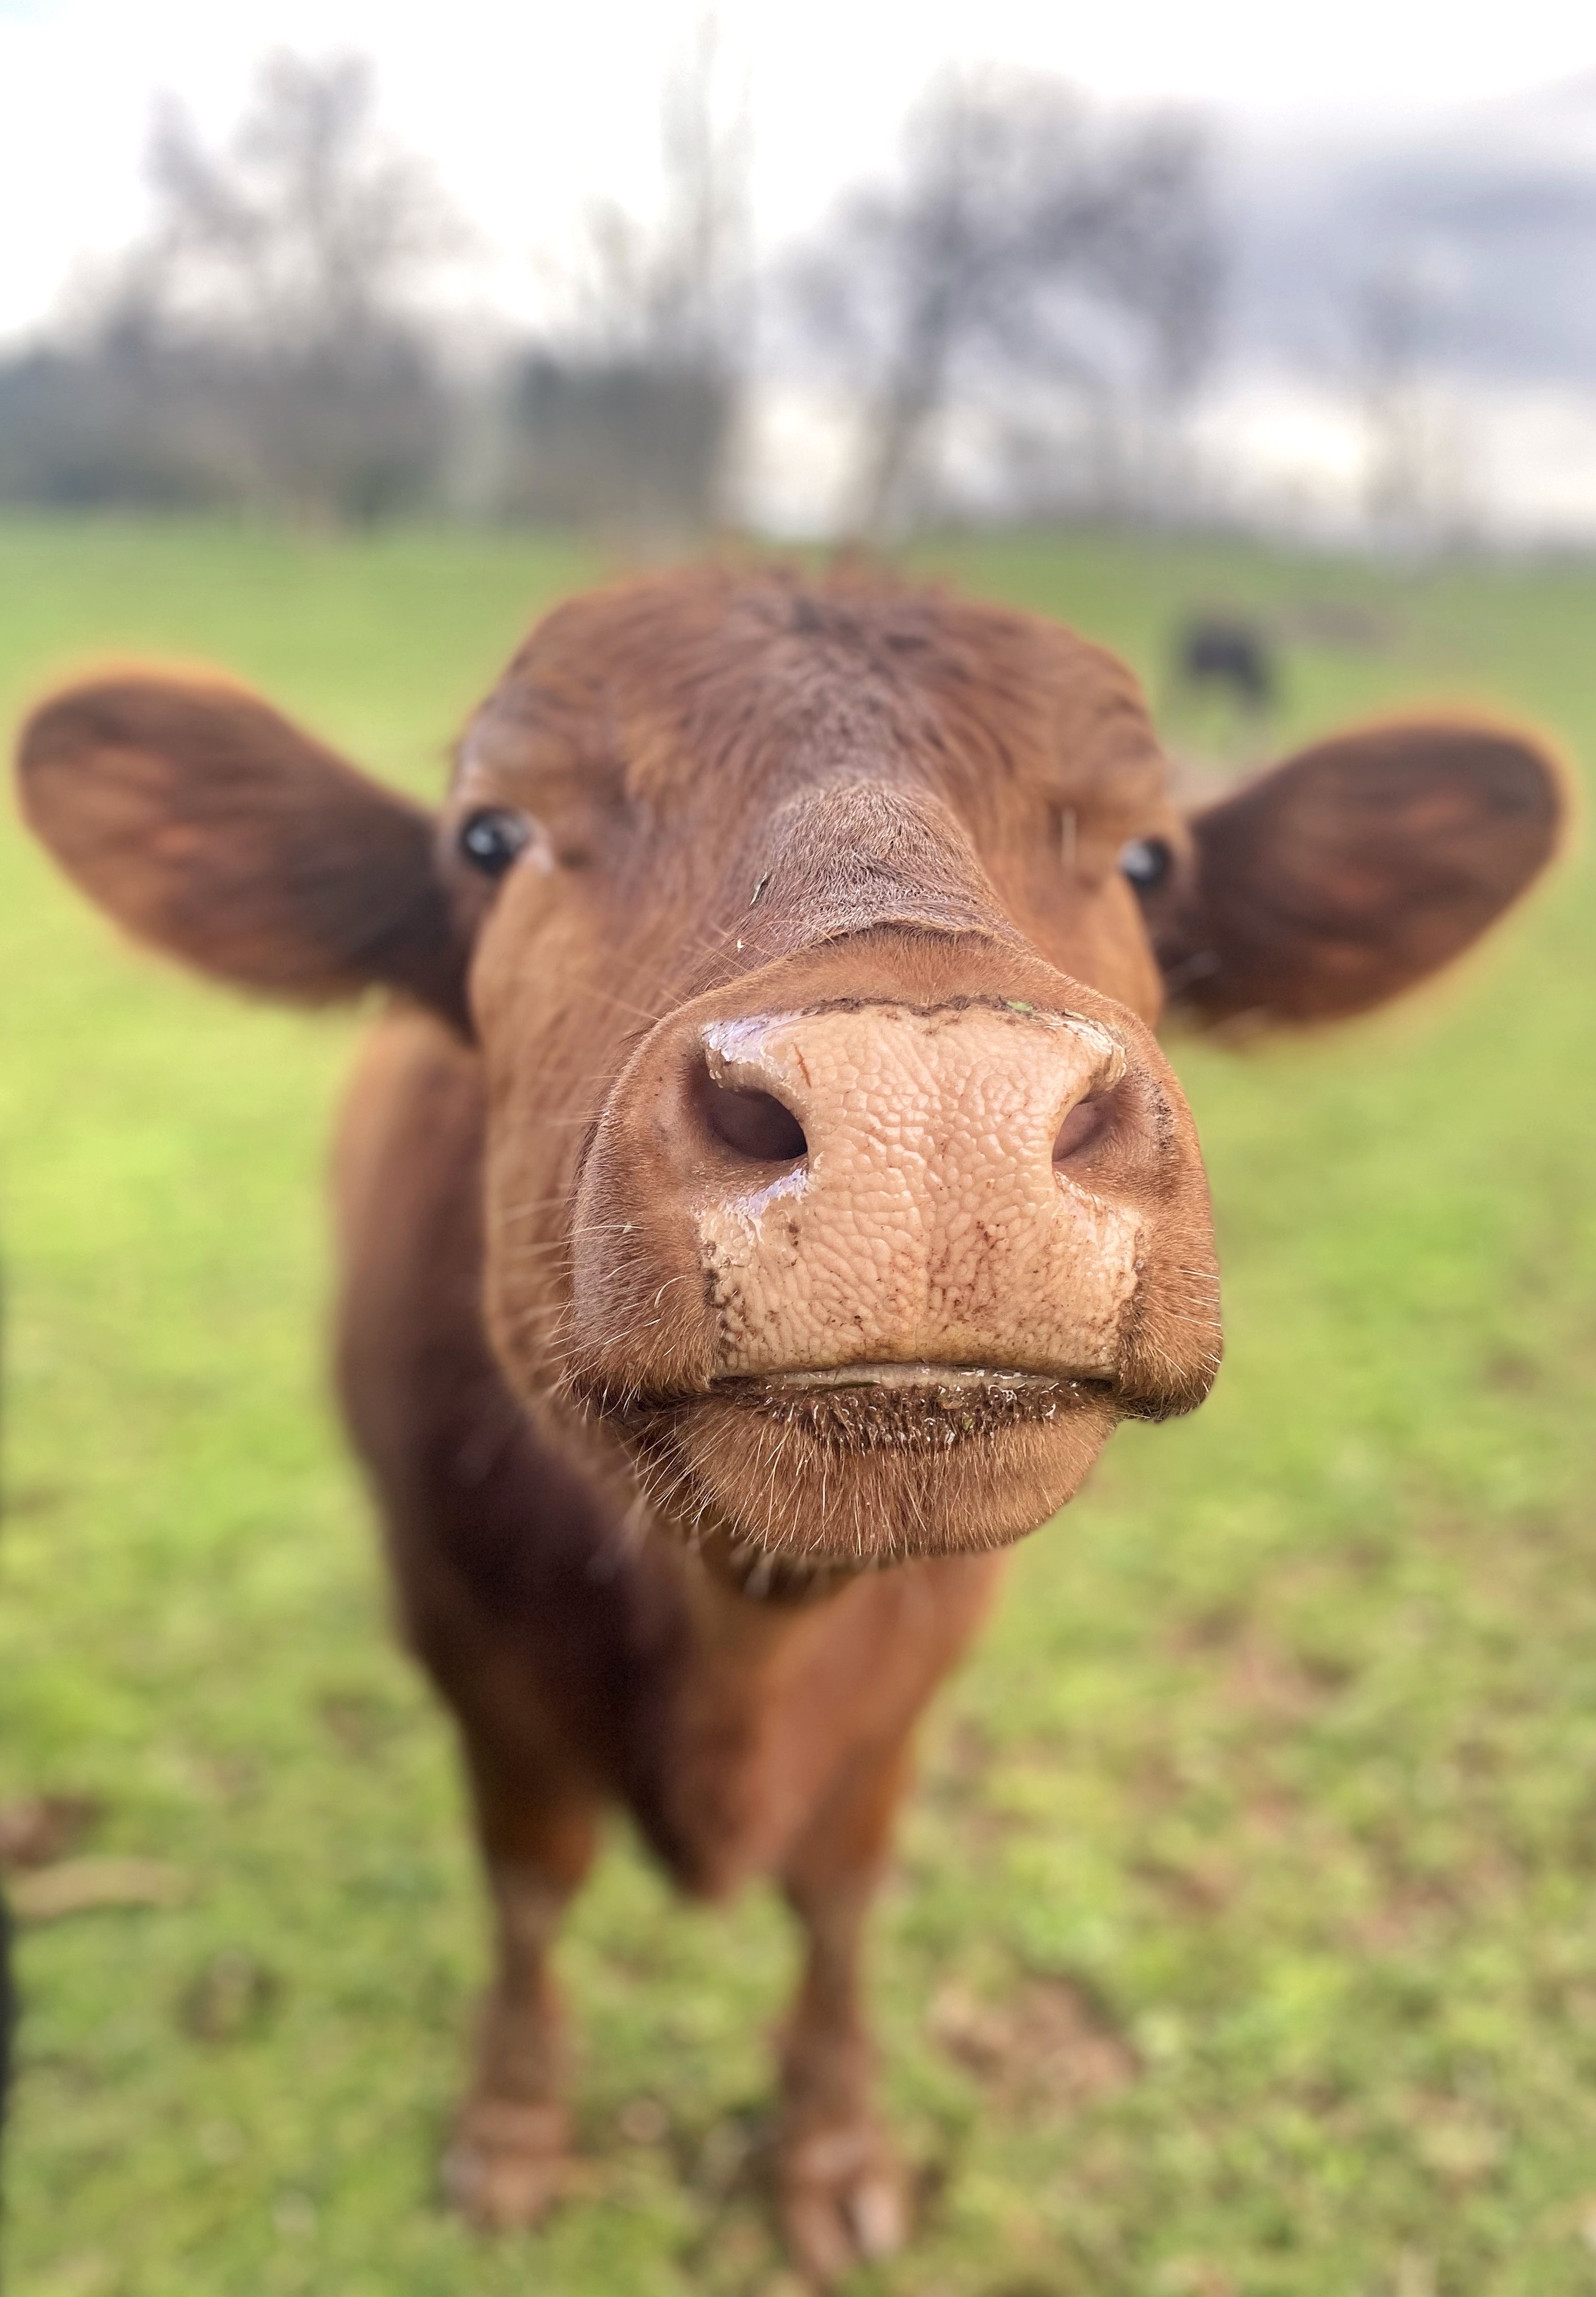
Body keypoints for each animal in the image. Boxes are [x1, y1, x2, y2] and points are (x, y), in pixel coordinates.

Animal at [12, 569, 1561, 2278]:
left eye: (1151, 858)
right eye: (488, 836)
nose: (929, 1106)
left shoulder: (922, 1655)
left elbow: (839, 1892)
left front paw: (830, 2147)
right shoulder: (461, 1632)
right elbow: (532, 1882)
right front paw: (514, 2128)